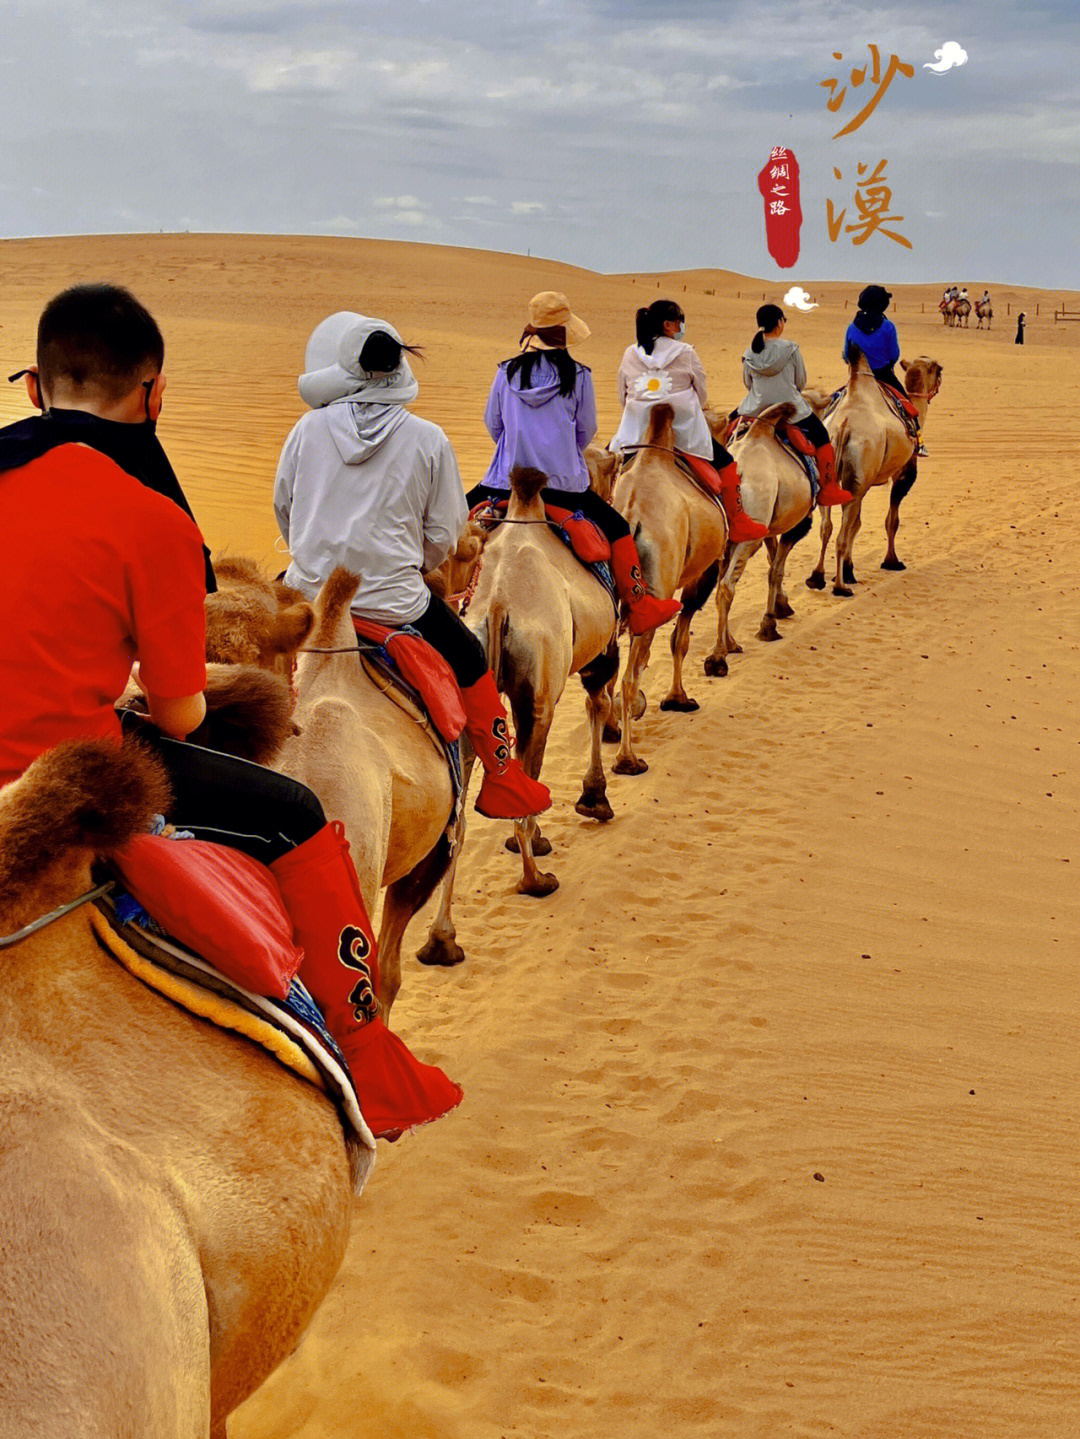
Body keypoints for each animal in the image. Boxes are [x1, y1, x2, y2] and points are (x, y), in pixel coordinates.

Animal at [612, 402, 730, 777]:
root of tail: (631, 514)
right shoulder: (702, 571)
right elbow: (680, 639)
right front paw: (678, 699)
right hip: (659, 585)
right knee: (629, 675)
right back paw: (628, 759)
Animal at [701, 402, 816, 676]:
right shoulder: (798, 524)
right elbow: (776, 570)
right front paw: (769, 624)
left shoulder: (768, 529)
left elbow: (772, 560)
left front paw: (781, 606)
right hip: (748, 536)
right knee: (727, 585)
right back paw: (717, 658)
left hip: (732, 537)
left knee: (722, 583)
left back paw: (730, 644)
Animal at [805, 353, 943, 595]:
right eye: (939, 370)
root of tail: (842, 426)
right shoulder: (902, 475)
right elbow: (892, 520)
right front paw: (891, 561)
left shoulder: (865, 483)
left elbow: (857, 523)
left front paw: (849, 570)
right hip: (858, 474)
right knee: (841, 533)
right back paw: (840, 587)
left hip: (833, 474)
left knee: (827, 527)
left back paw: (817, 577)